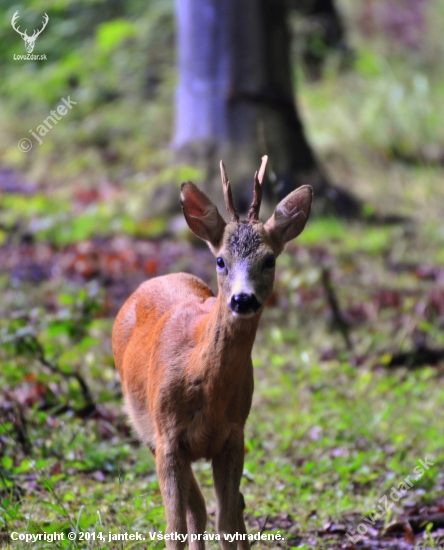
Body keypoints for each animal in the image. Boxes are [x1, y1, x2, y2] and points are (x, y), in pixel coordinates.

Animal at [111, 157, 312, 548]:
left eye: (269, 260)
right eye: (220, 260)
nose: (242, 299)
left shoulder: (235, 436)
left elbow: (228, 522)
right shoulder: (167, 437)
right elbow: (174, 526)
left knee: (216, 508)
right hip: (145, 429)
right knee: (195, 509)